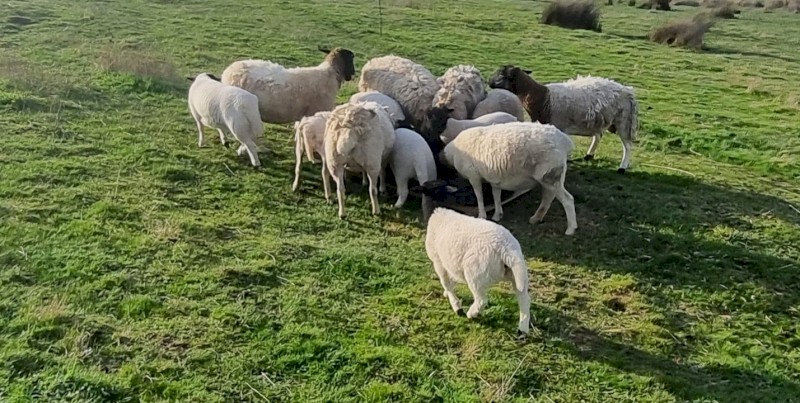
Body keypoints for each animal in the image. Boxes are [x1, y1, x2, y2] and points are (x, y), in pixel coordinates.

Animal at [415, 183, 532, 335]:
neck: (437, 212)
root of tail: (506, 248)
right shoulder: (451, 263)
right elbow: (451, 281)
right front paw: (448, 294)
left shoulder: (438, 261)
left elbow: (446, 282)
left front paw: (456, 306)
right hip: (517, 275)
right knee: (524, 300)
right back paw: (522, 329)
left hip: (475, 273)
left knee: (482, 300)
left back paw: (472, 313)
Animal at [443, 122, 578, 235]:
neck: (454, 150)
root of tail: (565, 141)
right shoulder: (494, 178)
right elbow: (496, 195)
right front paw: (497, 215)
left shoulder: (473, 175)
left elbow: (479, 195)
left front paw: (482, 215)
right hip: (549, 177)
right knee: (548, 197)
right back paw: (536, 218)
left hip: (551, 175)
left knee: (568, 199)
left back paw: (570, 229)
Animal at [489, 65, 639, 174]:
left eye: (502, 75)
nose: (489, 83)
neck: (544, 98)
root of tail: (628, 90)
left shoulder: (560, 126)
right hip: (600, 119)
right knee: (598, 135)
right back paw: (589, 155)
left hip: (624, 120)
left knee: (627, 145)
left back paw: (622, 167)